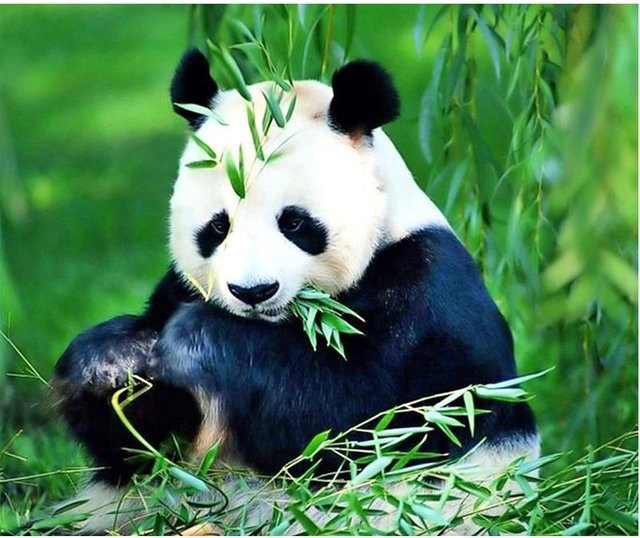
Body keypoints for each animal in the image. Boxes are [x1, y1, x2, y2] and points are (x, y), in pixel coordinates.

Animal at [52, 49, 539, 533]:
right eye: (218, 227)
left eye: (295, 223)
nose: (253, 291)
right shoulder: (179, 287)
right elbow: (142, 448)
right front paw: (112, 359)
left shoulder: (427, 292)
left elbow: (357, 421)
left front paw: (197, 340)